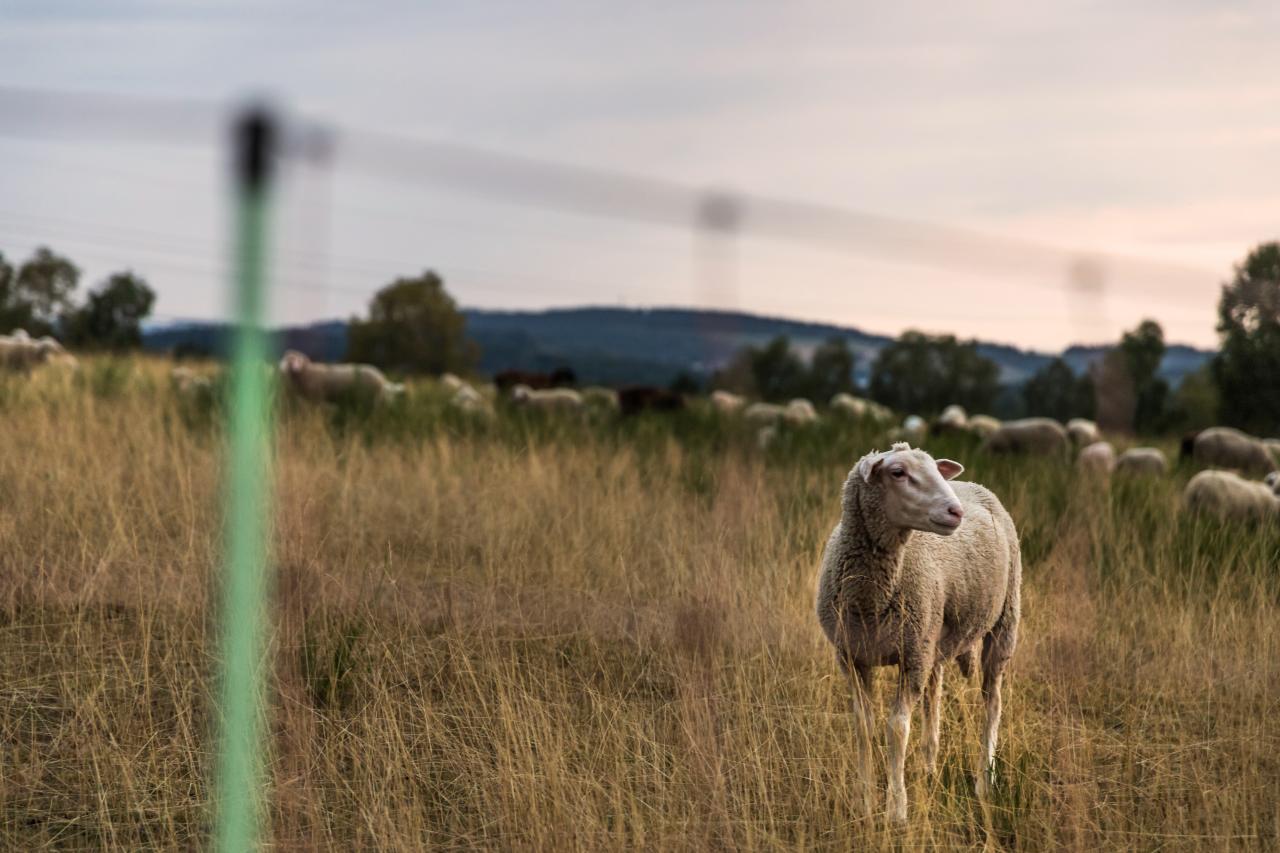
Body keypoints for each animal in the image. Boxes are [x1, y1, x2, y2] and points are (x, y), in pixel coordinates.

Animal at [816, 443, 1020, 822]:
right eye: (897, 472)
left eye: (935, 471)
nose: (955, 512)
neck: (871, 596)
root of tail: (974, 485)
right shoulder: (851, 656)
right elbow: (863, 726)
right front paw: (864, 800)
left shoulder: (911, 657)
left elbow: (897, 728)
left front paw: (896, 810)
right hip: (932, 639)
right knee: (933, 699)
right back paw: (928, 766)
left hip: (1002, 622)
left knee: (992, 701)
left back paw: (985, 780)